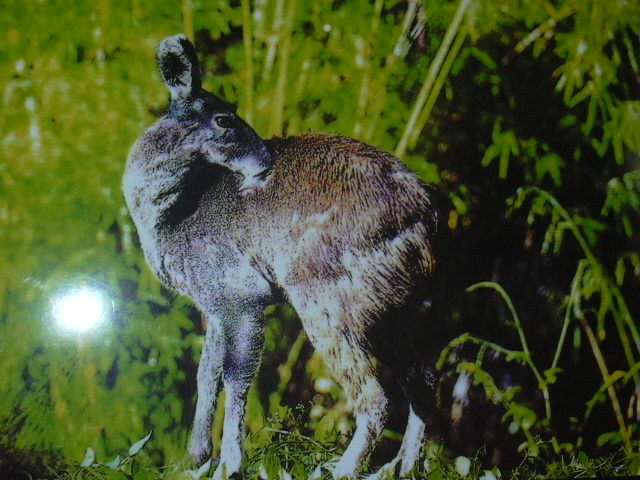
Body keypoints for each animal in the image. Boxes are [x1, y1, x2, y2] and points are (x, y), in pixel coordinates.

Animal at [123, 34, 443, 480]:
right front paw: (195, 459)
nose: (265, 158)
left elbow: (237, 376)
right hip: (396, 310)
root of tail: (425, 215)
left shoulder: (240, 295)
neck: (172, 218)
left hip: (326, 301)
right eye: (224, 118)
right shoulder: (215, 306)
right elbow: (207, 374)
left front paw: (230, 463)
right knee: (423, 381)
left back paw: (342, 468)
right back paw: (403, 467)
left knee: (376, 397)